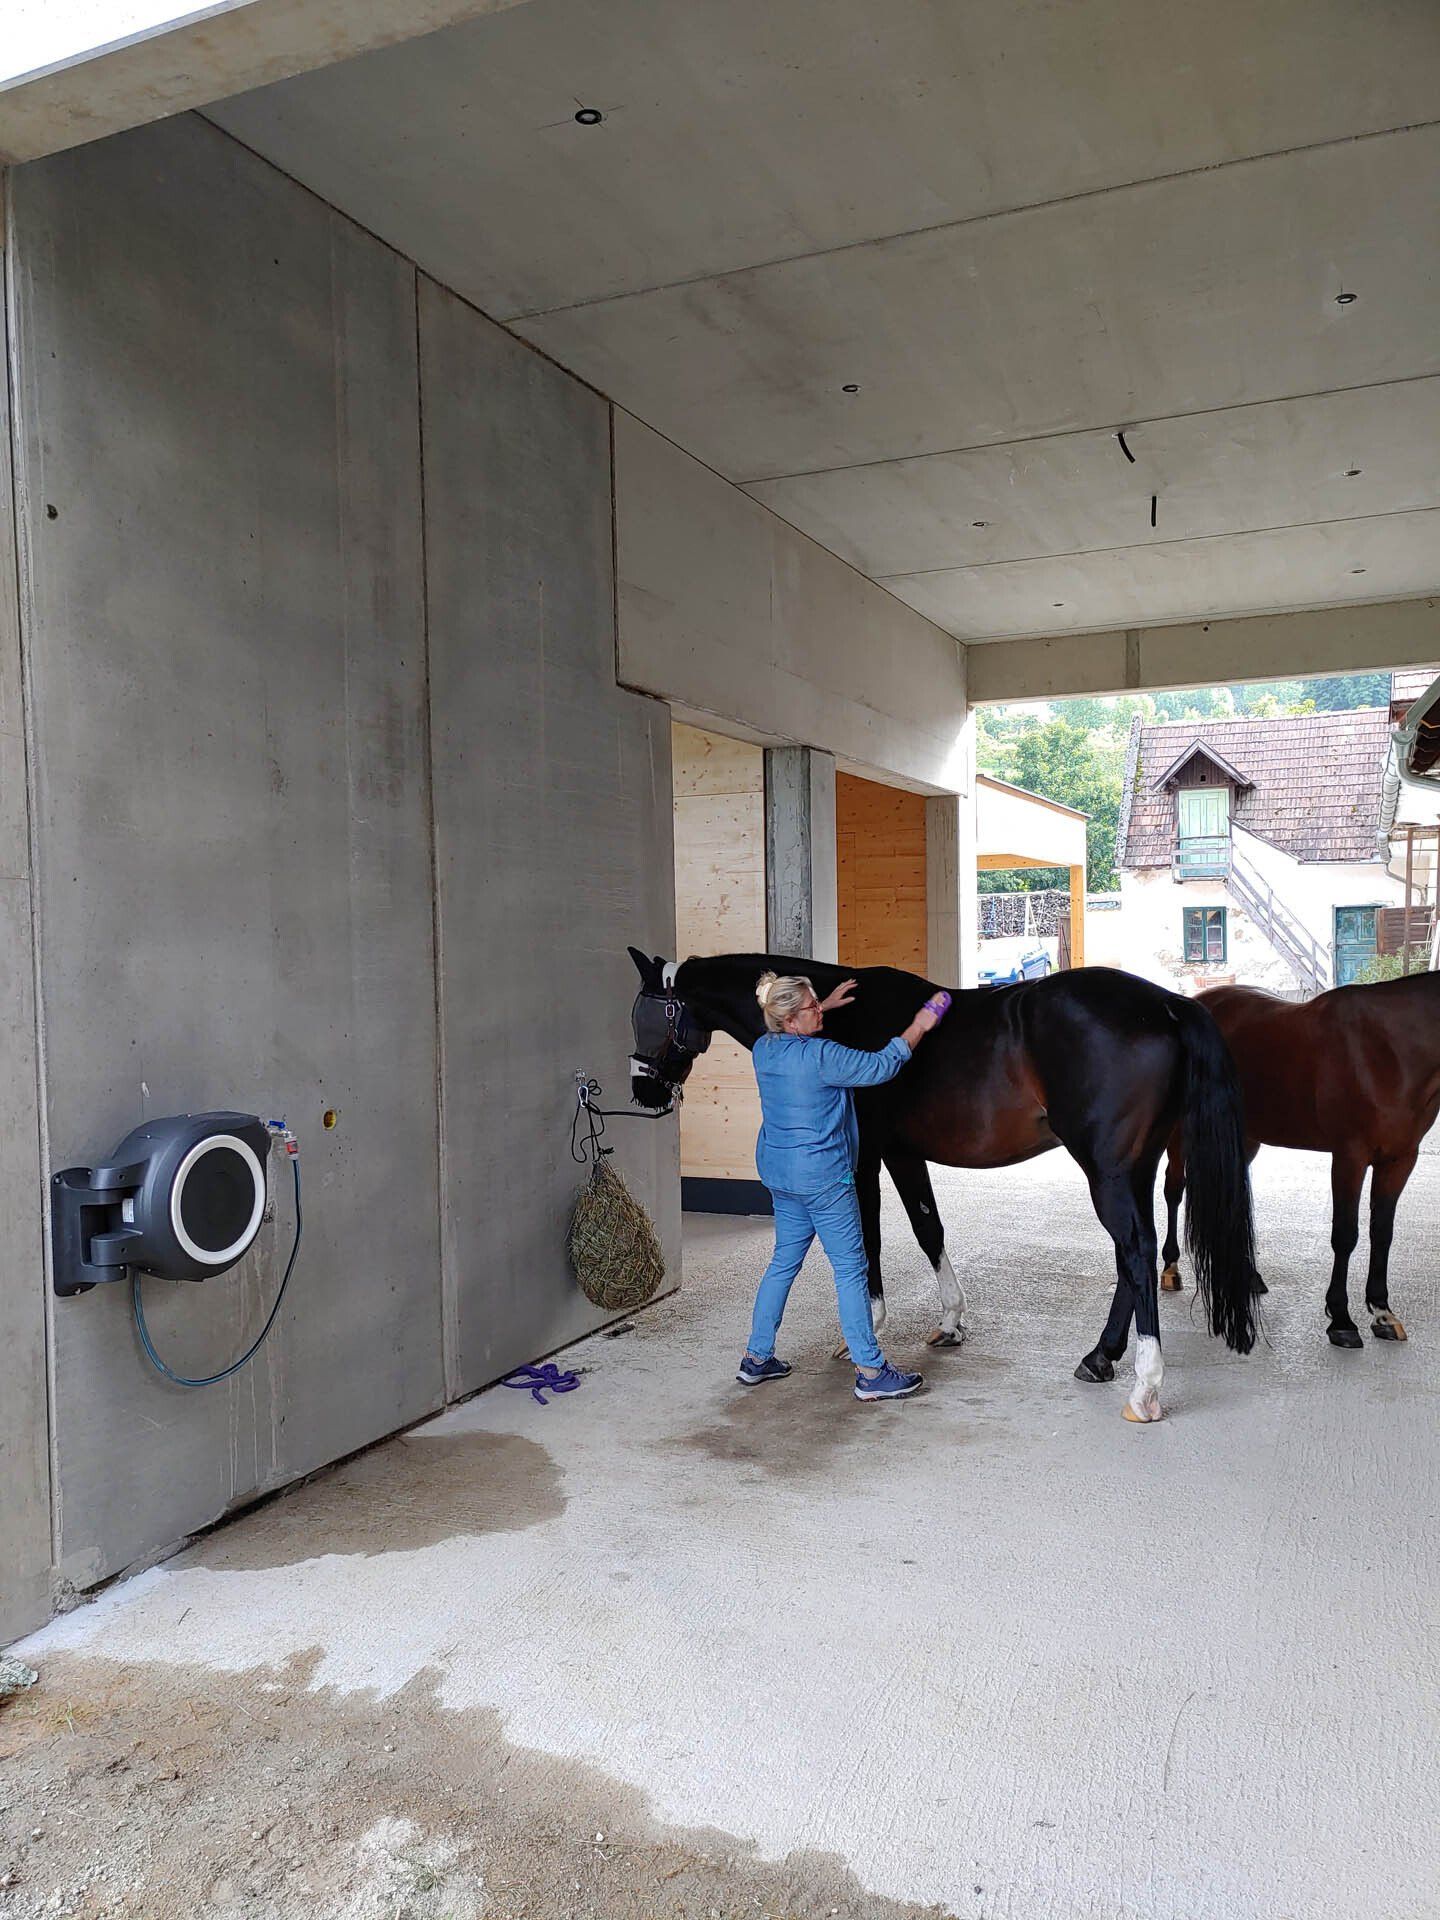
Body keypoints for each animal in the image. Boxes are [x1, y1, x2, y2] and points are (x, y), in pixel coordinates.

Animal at [626, 948, 1259, 1422]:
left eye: (650, 1017)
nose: (644, 1091)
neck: (844, 1022)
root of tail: (1167, 1004)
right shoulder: (904, 1155)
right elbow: (928, 1227)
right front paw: (951, 1321)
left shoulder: (865, 1157)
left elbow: (869, 1240)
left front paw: (867, 1329)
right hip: (1134, 1167)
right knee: (1134, 1255)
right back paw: (1099, 1357)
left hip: (1107, 1171)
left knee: (1135, 1251)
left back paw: (1144, 1387)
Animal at [1161, 973, 1440, 1348]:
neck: (1391, 1050)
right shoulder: (1349, 1157)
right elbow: (1345, 1235)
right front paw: (1341, 1320)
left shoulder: (1399, 1160)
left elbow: (1382, 1233)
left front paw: (1382, 1312)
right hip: (1181, 1133)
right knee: (1173, 1189)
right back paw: (1170, 1268)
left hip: (1245, 1136)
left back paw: (1249, 1276)